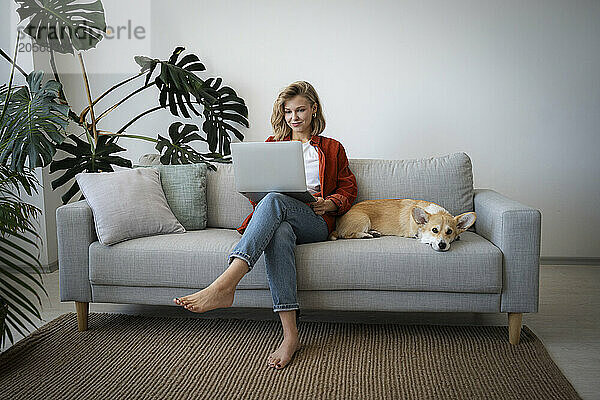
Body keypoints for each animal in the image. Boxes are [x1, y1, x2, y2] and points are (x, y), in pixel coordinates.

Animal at [330, 200, 476, 253]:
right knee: (347, 235)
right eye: (434, 230)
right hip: (364, 219)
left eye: (449, 232)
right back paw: (366, 235)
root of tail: (337, 225)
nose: (442, 245)